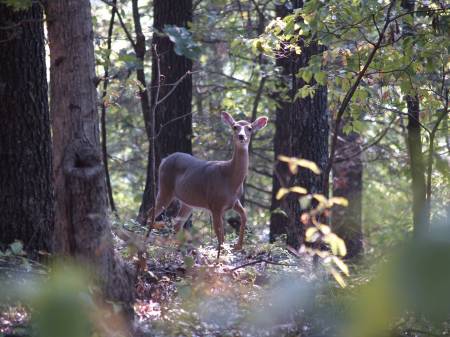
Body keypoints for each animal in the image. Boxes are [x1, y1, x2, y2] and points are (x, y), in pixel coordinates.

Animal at [149, 111, 268, 256]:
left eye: (250, 128)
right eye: (234, 127)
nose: (241, 136)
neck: (230, 179)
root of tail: (164, 160)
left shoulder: (234, 201)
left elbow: (244, 216)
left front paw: (238, 246)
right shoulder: (215, 203)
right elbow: (220, 234)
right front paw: (222, 254)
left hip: (188, 202)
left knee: (176, 224)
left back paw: (181, 249)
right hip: (165, 188)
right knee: (151, 213)